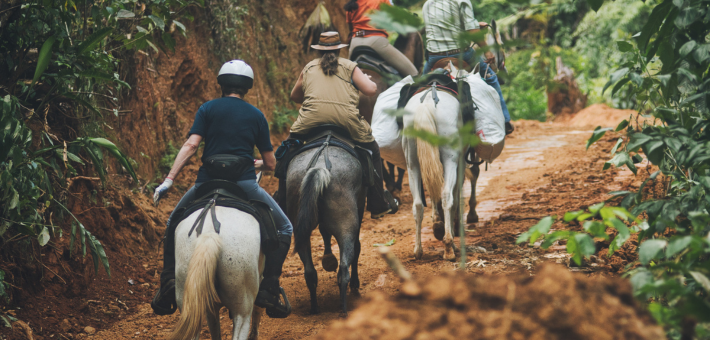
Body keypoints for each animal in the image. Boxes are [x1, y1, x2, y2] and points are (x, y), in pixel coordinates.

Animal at [288, 145, 368, 314]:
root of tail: (320, 168)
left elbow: (325, 232)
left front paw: (328, 257)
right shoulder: (360, 205)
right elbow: (357, 247)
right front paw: (355, 285)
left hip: (301, 230)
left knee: (310, 272)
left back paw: (314, 308)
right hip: (346, 226)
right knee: (344, 268)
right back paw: (343, 309)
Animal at [406, 87, 462, 260]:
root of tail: (426, 103)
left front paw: (437, 224)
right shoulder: (461, 161)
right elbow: (455, 197)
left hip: (412, 162)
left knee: (417, 204)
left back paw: (418, 250)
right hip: (450, 158)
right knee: (446, 195)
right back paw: (449, 247)